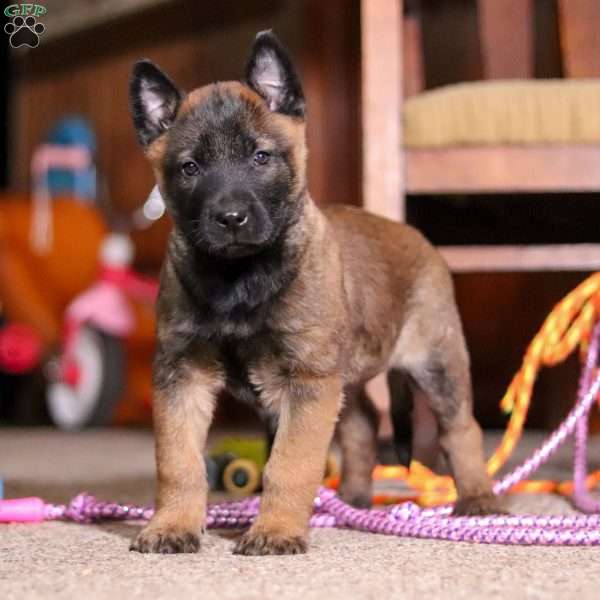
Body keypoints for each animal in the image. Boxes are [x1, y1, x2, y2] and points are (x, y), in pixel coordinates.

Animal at [129, 31, 500, 556]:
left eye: (261, 157)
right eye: (190, 168)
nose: (231, 218)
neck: (239, 278)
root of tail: (415, 236)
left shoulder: (307, 380)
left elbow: (290, 464)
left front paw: (276, 529)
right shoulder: (182, 376)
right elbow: (178, 460)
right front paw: (173, 524)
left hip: (437, 362)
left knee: (460, 429)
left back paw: (478, 500)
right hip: (347, 373)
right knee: (363, 421)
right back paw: (354, 498)